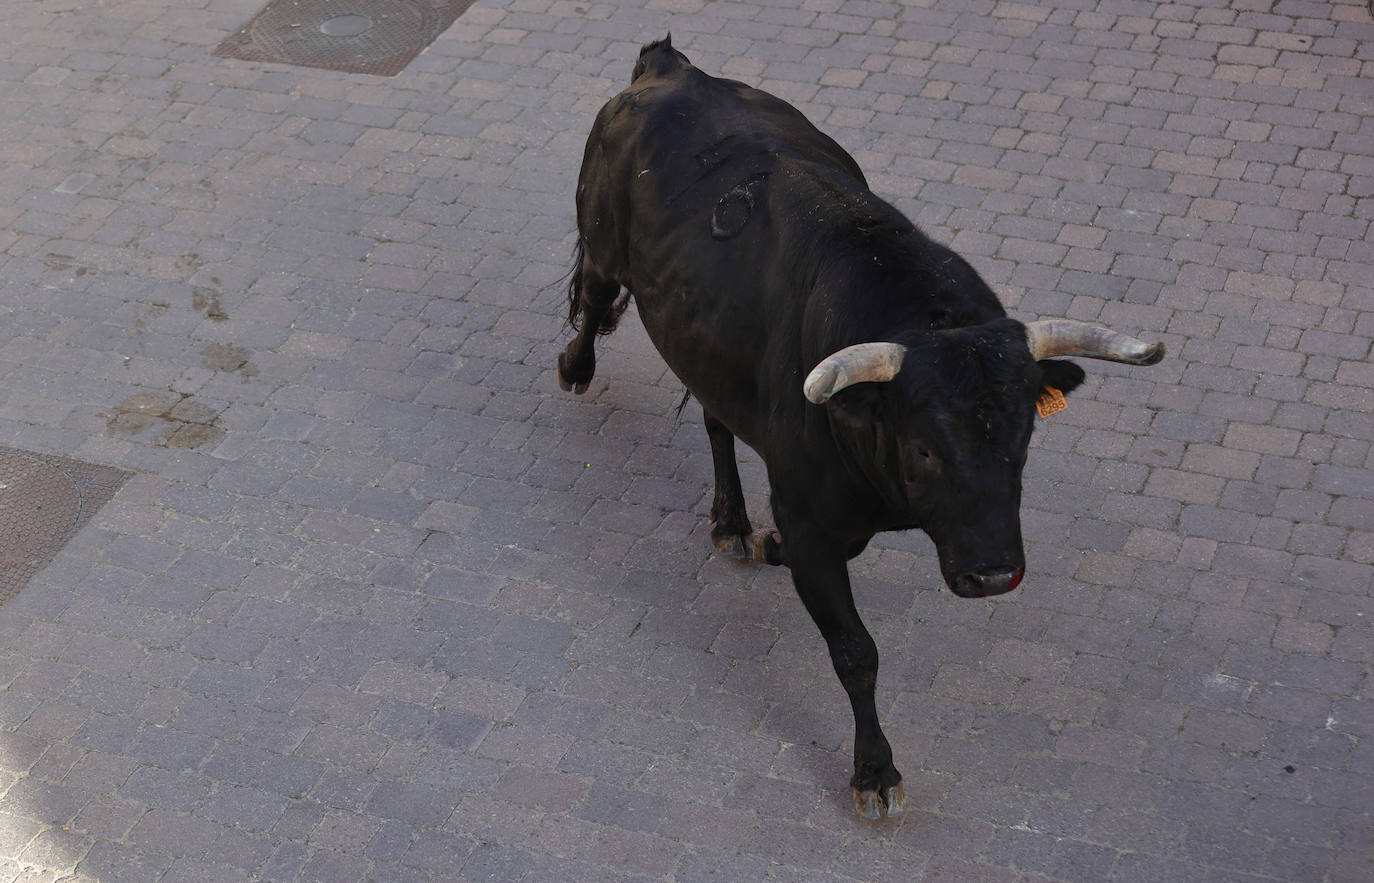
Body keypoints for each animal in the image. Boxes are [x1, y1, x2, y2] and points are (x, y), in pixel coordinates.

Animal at [557, 36, 1159, 823]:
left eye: (1022, 440)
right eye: (926, 447)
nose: (996, 575)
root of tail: (670, 68)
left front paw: (767, 540)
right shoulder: (811, 517)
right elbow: (856, 651)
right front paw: (874, 771)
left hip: (710, 342)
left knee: (717, 418)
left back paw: (733, 521)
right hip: (602, 245)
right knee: (596, 302)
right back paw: (575, 367)